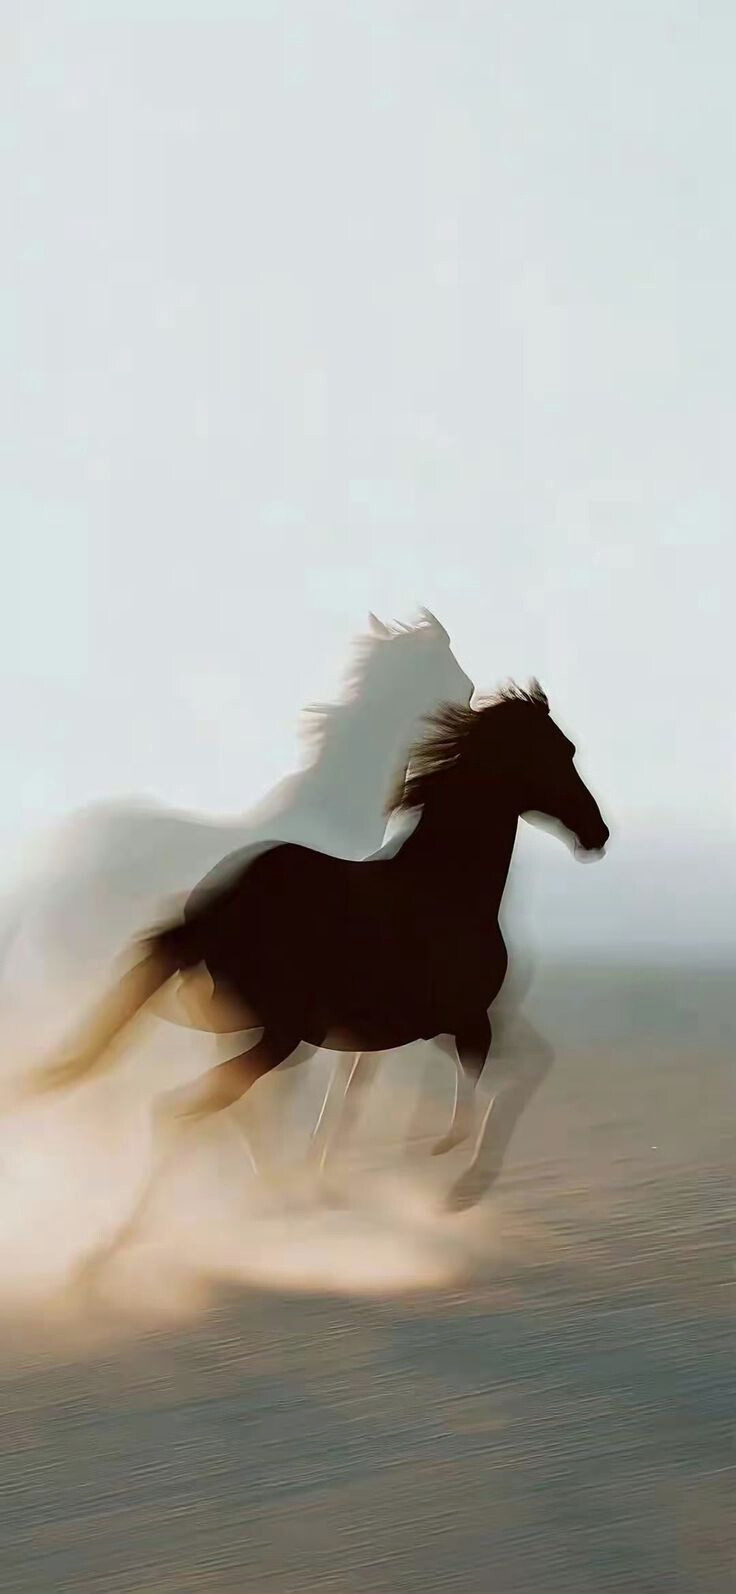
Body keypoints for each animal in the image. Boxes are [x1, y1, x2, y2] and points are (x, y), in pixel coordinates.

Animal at [32, 682, 609, 1211]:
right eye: (561, 753)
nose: (597, 833)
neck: (444, 884)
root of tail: (214, 909)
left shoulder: (411, 1029)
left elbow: (359, 1097)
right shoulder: (463, 1018)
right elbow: (470, 1092)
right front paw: (440, 1164)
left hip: (250, 1027)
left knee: (208, 1101)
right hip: (277, 1035)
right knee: (180, 1108)